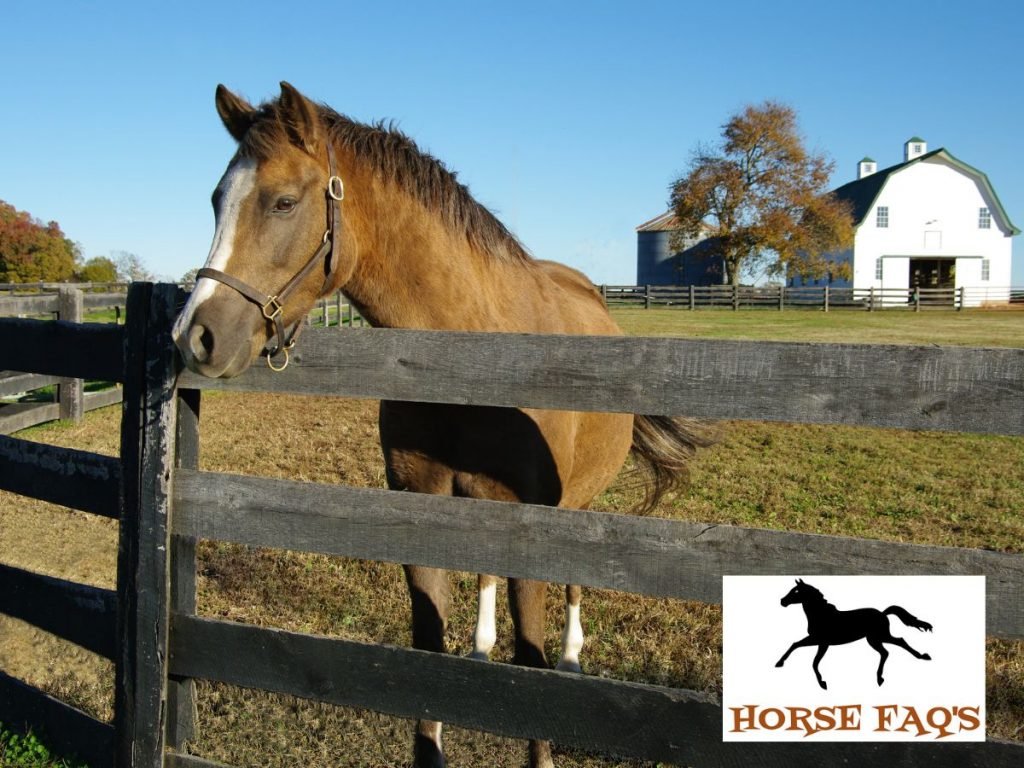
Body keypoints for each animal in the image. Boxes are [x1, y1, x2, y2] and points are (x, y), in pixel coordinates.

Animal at [172, 82, 705, 768]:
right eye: (217, 199)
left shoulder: (533, 529)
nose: (196, 336)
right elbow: (429, 652)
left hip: (577, 506)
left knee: (572, 589)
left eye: (284, 201)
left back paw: (572, 657)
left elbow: (531, 658)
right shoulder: (423, 511)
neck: (473, 360)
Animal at [775, 579, 933, 690]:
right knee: (889, 649)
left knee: (897, 643)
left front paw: (822, 683)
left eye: (796, 591)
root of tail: (883, 613)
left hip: (878, 637)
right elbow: (798, 647)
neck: (821, 615)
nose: (782, 601)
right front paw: (779, 663)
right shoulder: (819, 641)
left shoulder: (821, 641)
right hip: (874, 639)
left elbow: (811, 660)